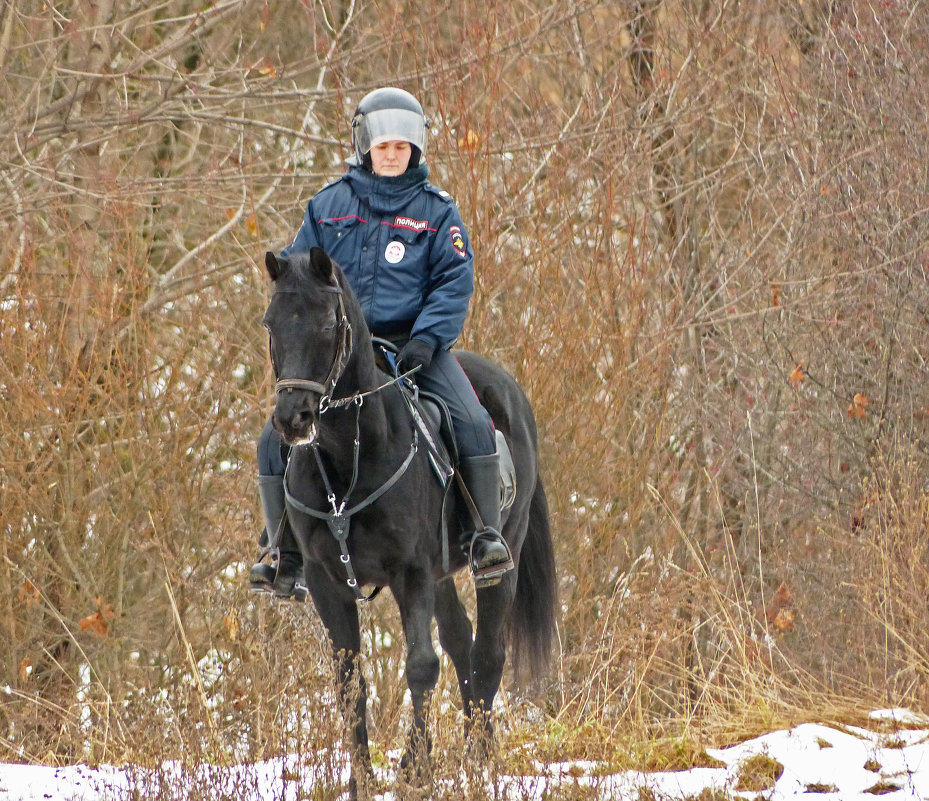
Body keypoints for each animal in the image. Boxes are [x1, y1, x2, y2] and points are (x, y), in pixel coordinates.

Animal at [258, 248, 556, 792]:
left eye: (328, 323)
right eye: (271, 322)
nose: (292, 419)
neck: (348, 458)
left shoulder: (410, 571)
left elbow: (421, 666)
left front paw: (416, 766)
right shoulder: (327, 582)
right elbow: (349, 683)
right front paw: (361, 779)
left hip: (501, 554)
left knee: (488, 654)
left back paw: (481, 760)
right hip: (440, 575)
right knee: (462, 644)